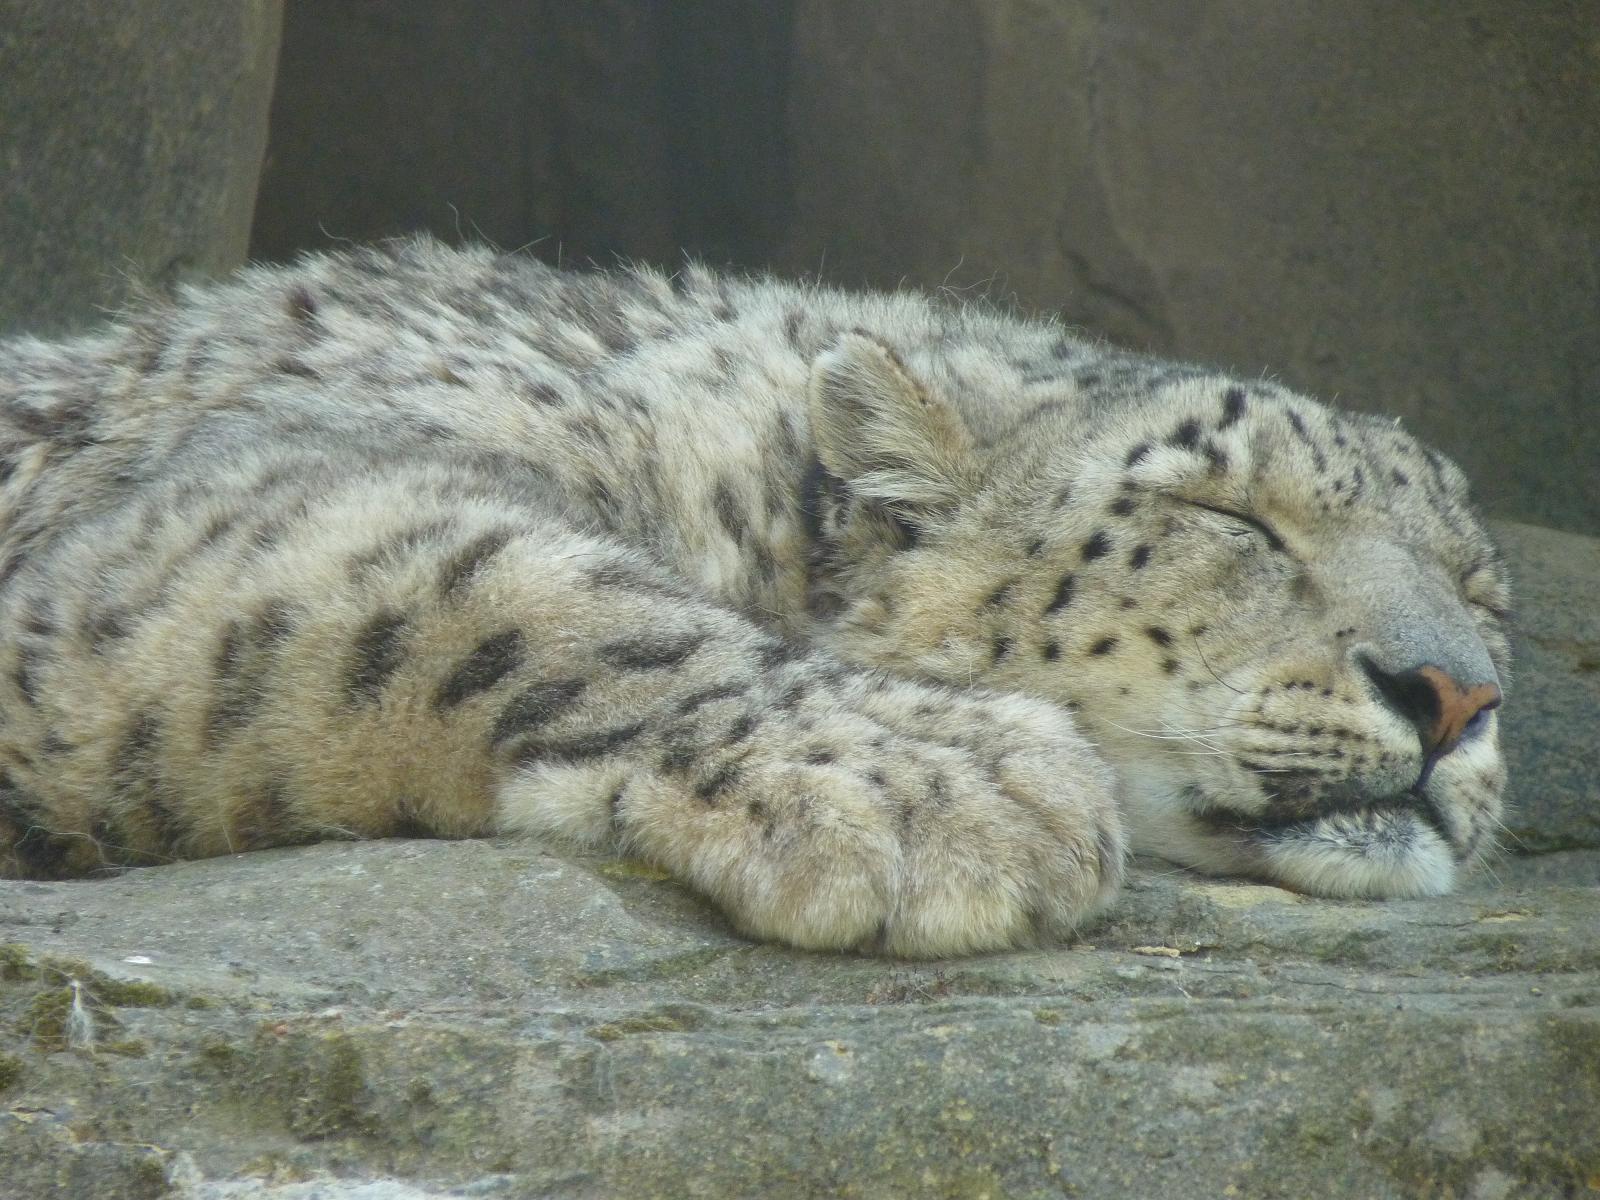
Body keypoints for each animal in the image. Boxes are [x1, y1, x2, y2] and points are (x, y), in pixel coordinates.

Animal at [0, 238, 1511, 957]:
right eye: (1226, 514)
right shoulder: (238, 509)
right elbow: (499, 584)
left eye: (1478, 581)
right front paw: (944, 784)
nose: (1455, 693)